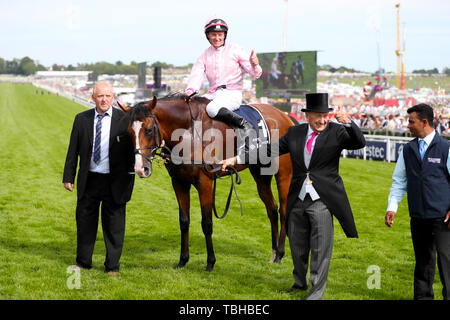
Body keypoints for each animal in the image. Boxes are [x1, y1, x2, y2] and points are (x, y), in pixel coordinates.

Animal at [119, 94, 294, 272]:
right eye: (130, 132)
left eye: (148, 130)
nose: (141, 169)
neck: (188, 133)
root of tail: (284, 116)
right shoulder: (179, 182)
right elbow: (184, 221)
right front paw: (183, 260)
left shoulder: (205, 183)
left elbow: (207, 223)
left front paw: (210, 262)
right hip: (260, 175)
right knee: (272, 209)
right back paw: (274, 253)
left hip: (284, 175)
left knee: (283, 211)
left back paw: (280, 254)